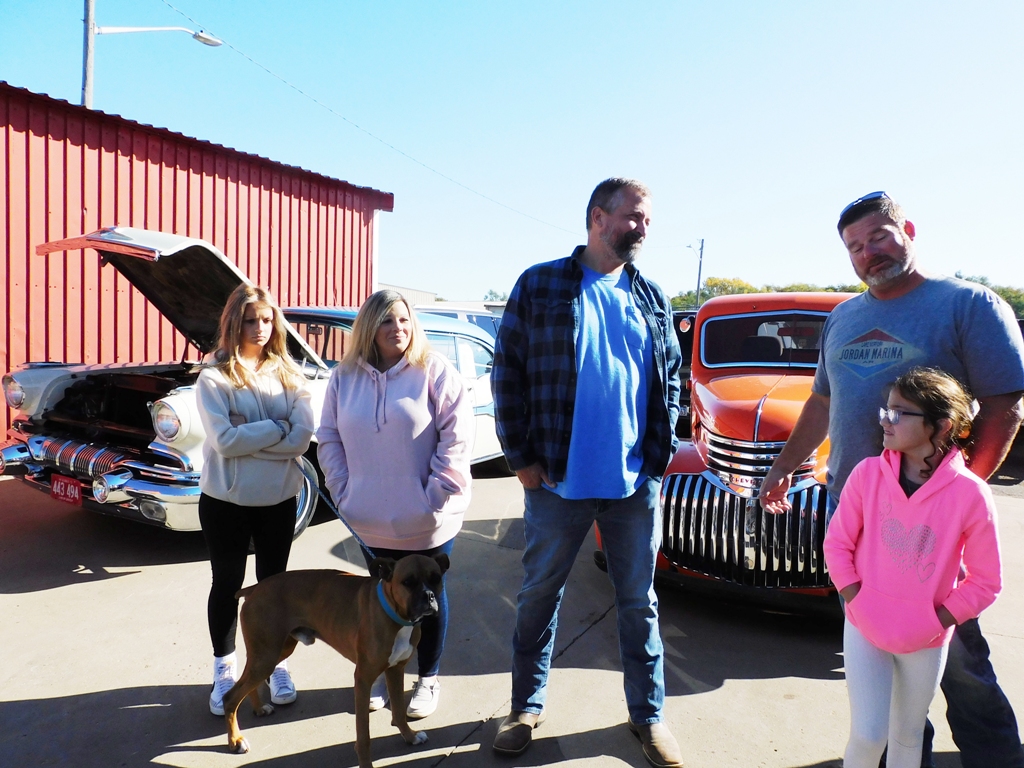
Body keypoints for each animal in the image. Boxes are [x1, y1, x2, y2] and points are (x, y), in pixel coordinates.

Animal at [221, 553, 450, 768]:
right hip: (267, 656)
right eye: (408, 582)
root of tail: (253, 589)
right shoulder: (363, 680)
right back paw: (236, 741)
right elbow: (364, 736)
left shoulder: (395, 670)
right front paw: (366, 764)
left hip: (272, 654)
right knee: (230, 697)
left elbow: (399, 712)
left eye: (436, 578)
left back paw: (259, 708)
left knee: (247, 685)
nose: (429, 596)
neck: (395, 615)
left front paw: (410, 737)